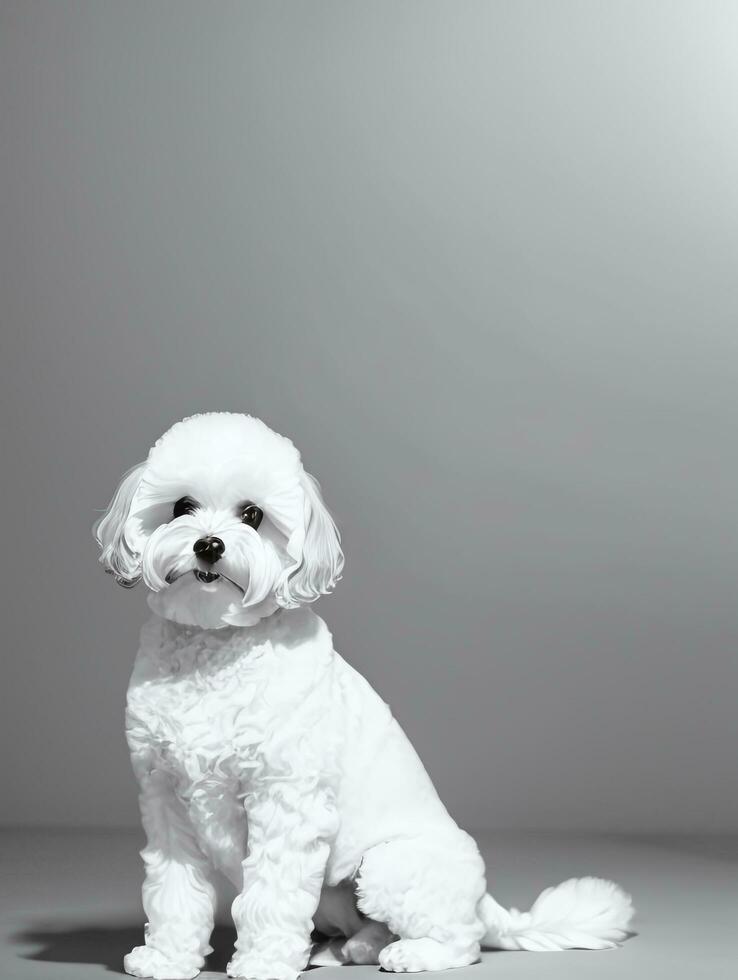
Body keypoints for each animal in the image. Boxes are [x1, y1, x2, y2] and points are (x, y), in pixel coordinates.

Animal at [93, 414, 632, 980]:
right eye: (181, 507)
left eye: (253, 515)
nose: (210, 545)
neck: (214, 647)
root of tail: (484, 899)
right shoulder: (165, 801)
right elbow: (173, 890)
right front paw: (168, 957)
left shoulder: (286, 803)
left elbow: (271, 895)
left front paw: (263, 962)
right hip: (338, 893)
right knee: (366, 927)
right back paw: (344, 949)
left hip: (388, 867)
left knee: (463, 940)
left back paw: (412, 952)